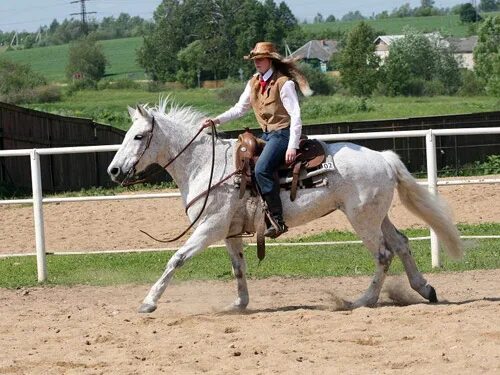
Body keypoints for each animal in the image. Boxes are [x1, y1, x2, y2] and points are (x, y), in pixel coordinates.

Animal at [107, 100, 462, 314]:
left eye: (138, 136)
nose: (113, 170)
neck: (205, 165)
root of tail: (384, 158)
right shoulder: (230, 232)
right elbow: (238, 268)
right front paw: (240, 303)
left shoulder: (210, 228)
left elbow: (176, 259)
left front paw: (148, 302)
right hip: (376, 216)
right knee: (400, 244)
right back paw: (424, 289)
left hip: (361, 220)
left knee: (383, 255)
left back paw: (362, 300)